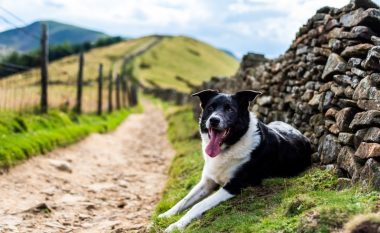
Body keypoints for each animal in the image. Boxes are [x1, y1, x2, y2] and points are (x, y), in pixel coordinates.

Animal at [159, 89, 310, 231]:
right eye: (210, 108)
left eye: (230, 109)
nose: (214, 120)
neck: (229, 147)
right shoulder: (207, 182)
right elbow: (183, 200)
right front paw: (164, 216)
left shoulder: (233, 186)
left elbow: (198, 205)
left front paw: (176, 225)